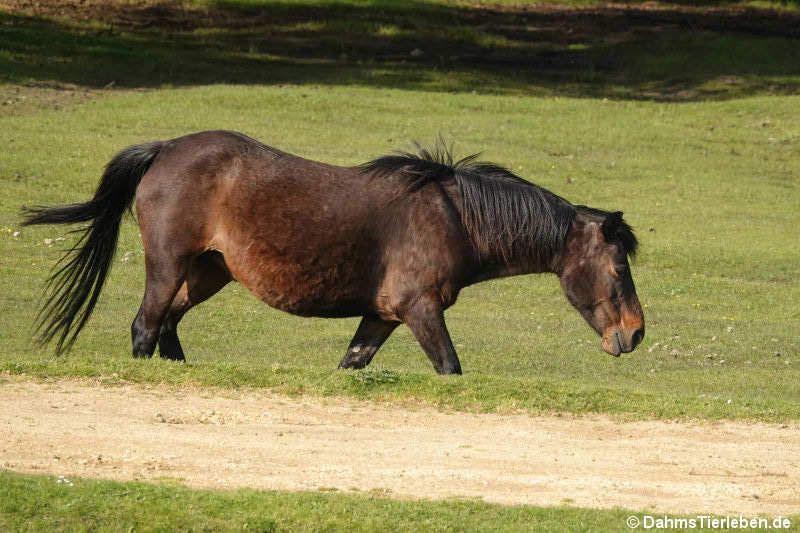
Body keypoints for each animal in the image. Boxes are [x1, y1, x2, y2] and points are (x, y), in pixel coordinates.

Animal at [21, 130, 644, 374]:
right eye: (618, 268)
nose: (636, 333)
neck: (454, 217)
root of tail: (165, 149)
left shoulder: (384, 315)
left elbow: (352, 363)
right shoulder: (421, 309)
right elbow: (450, 368)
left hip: (207, 273)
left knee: (168, 328)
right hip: (169, 266)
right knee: (146, 327)